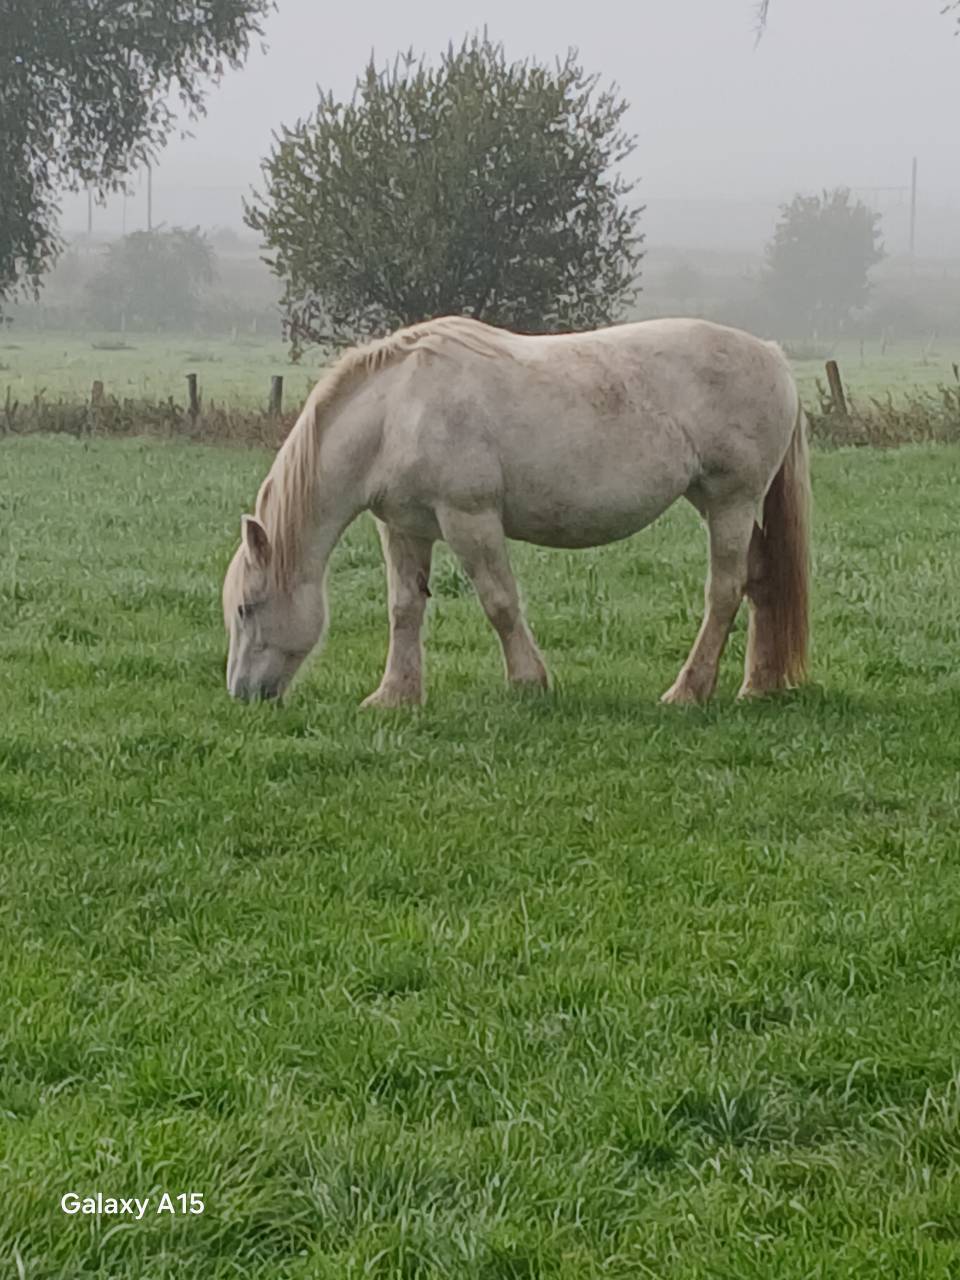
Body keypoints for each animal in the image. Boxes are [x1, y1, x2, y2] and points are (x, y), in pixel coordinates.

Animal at [222, 315, 810, 707]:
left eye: (247, 608)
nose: (242, 693)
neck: (395, 412)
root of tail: (772, 355)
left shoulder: (469, 518)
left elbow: (500, 602)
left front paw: (528, 682)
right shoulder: (405, 529)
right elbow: (405, 609)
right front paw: (394, 696)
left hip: (731, 502)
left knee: (726, 590)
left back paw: (688, 690)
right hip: (725, 504)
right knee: (762, 581)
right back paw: (756, 685)